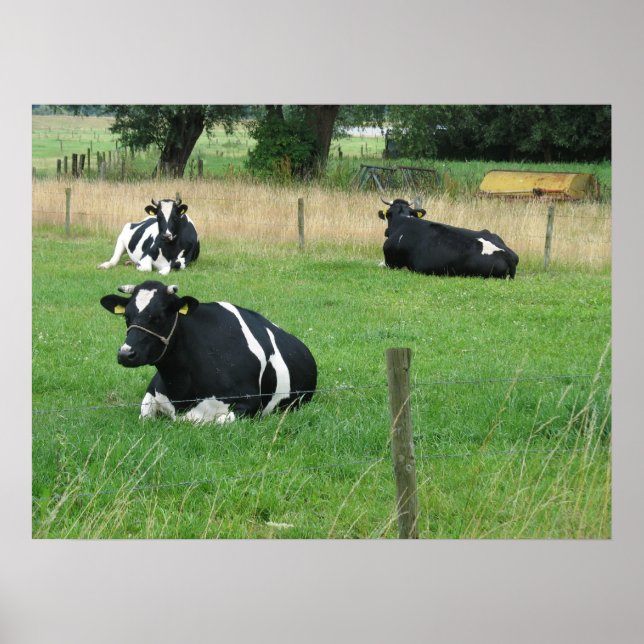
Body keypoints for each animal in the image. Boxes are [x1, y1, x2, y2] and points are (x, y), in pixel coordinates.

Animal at [100, 281, 317, 424]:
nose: (125, 354)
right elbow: (145, 415)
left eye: (159, 316)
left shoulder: (248, 404)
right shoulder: (151, 394)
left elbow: (214, 421)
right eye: (126, 316)